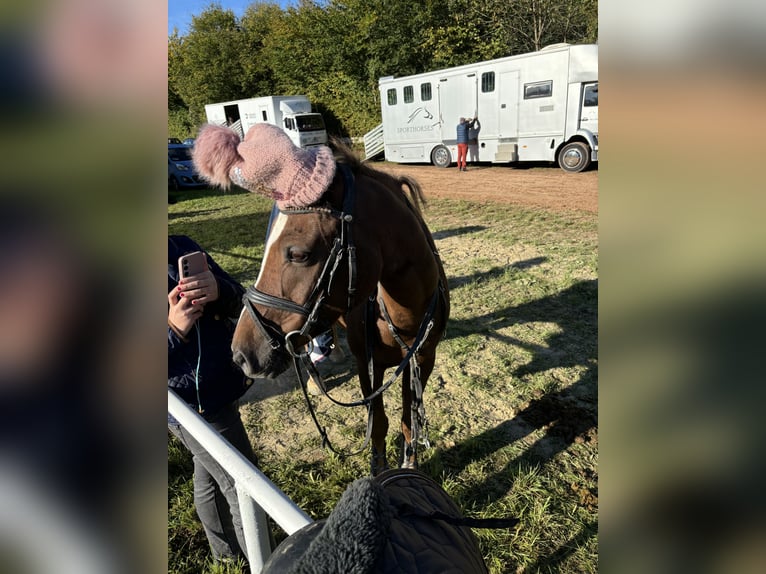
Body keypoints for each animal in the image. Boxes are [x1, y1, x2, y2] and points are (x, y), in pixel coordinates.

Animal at [232, 148, 450, 476]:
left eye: (299, 254)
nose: (240, 355)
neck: (406, 316)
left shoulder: (423, 360)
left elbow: (409, 421)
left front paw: (409, 466)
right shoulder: (368, 365)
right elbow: (378, 424)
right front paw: (378, 469)